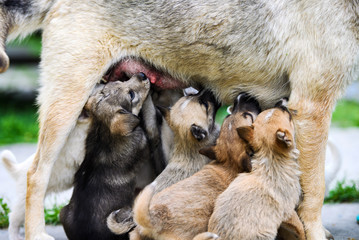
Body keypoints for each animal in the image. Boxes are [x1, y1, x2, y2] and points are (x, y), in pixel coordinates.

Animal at [60, 73, 152, 240]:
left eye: (120, 81)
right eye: (131, 95)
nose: (142, 74)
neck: (103, 128)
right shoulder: (143, 143)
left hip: (63, 212)